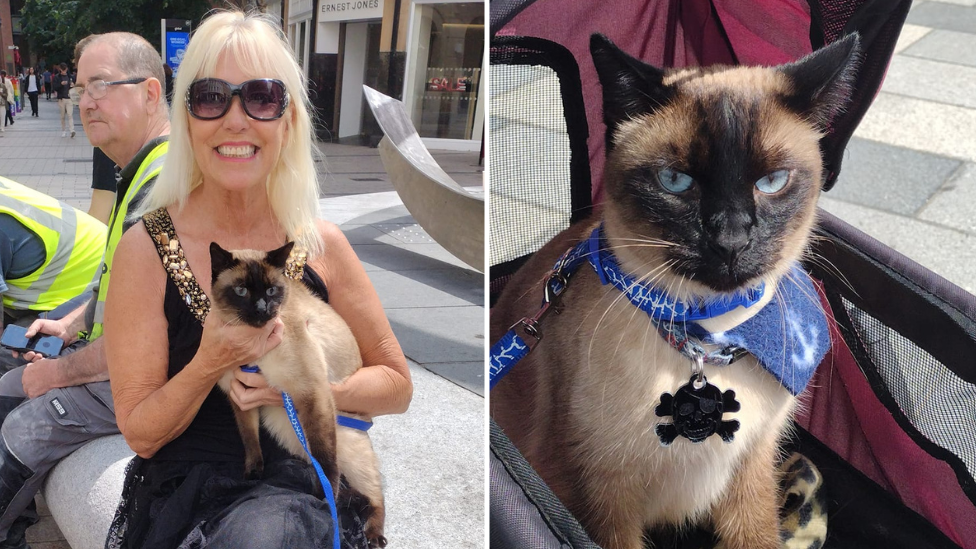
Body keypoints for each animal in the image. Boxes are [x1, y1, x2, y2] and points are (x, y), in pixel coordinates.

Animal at [212, 242, 386, 544]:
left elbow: (326, 463)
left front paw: (324, 499)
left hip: (344, 446)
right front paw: (253, 473)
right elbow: (250, 439)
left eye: (271, 291)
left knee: (373, 494)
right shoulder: (241, 396)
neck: (254, 348)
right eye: (241, 291)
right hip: (290, 433)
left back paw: (371, 533)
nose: (262, 309)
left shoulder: (311, 392)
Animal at [492, 34, 856, 548]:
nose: (731, 239)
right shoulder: (600, 496)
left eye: (772, 182)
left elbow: (757, 534)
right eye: (676, 181)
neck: (707, 340)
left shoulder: (751, 473)